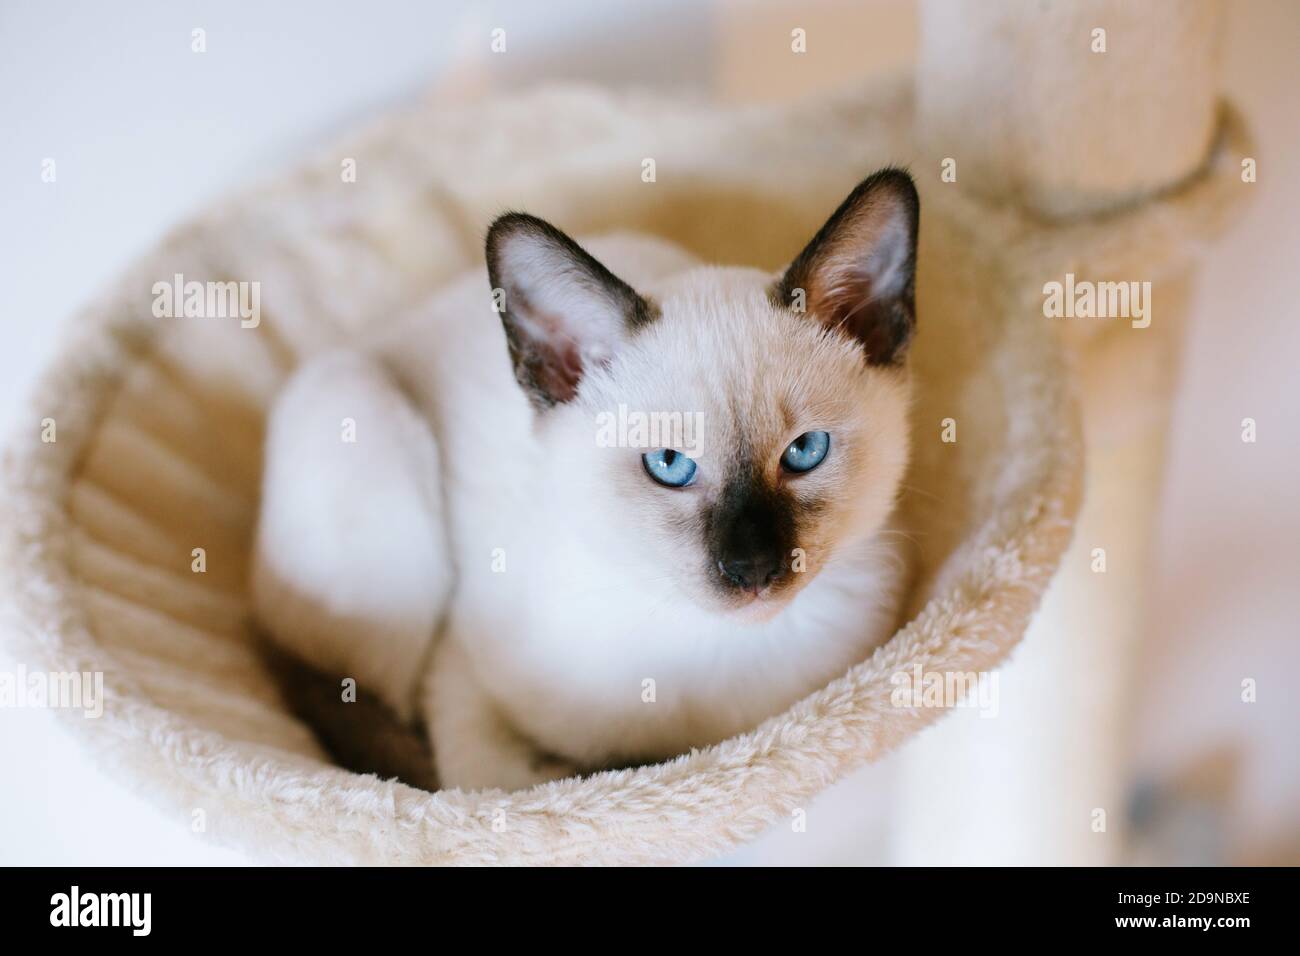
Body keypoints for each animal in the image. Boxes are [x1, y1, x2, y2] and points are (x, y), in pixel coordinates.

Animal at [253, 166, 920, 790]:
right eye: (670, 465)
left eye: (804, 451)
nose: (752, 568)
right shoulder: (460, 686)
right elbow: (496, 781)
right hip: (365, 422)